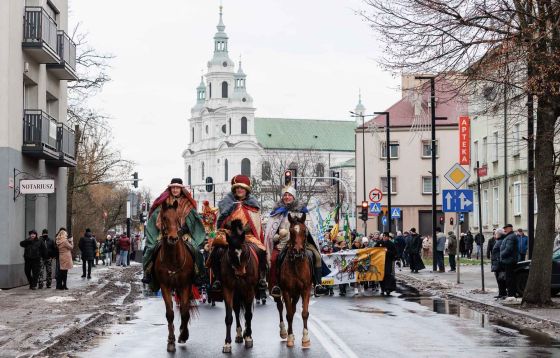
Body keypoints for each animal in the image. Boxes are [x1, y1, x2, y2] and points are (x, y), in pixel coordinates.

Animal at [154, 200, 196, 354]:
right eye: (164, 217)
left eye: (177, 218)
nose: (173, 238)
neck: (172, 259)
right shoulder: (164, 286)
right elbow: (170, 313)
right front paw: (171, 341)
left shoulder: (185, 285)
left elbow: (184, 312)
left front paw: (183, 336)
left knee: (186, 309)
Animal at [221, 218, 260, 352]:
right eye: (231, 253)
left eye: (244, 252)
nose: (240, 273)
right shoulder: (228, 289)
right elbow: (229, 317)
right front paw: (227, 343)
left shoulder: (249, 289)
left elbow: (248, 314)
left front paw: (248, 337)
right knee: (237, 310)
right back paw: (239, 334)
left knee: (248, 312)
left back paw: (247, 332)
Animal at [274, 214, 312, 348]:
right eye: (291, 231)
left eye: (304, 231)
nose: (297, 251)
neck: (296, 264)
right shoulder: (285, 291)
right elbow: (289, 314)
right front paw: (290, 337)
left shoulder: (305, 290)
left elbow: (304, 313)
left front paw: (305, 338)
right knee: (280, 307)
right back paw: (283, 332)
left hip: (296, 294)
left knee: (293, 308)